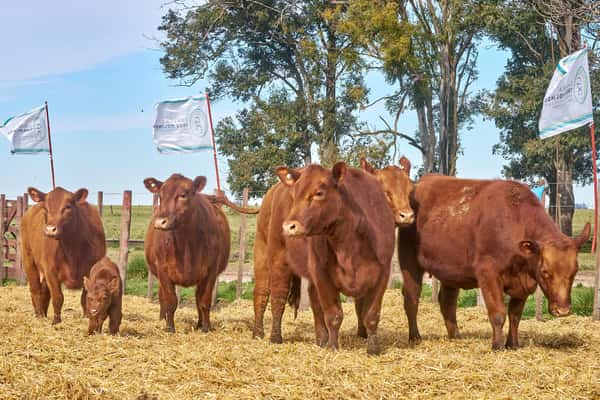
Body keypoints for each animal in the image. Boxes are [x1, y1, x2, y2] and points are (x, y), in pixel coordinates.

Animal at [20, 186, 105, 324]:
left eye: (67, 207)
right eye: (46, 208)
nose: (50, 230)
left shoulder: (90, 272)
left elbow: (85, 297)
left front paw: (87, 318)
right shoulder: (50, 271)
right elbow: (58, 297)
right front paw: (56, 321)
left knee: (44, 292)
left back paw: (43, 314)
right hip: (28, 260)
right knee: (35, 289)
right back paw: (39, 315)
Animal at [144, 173, 231, 332]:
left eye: (183, 195)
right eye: (160, 196)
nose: (160, 222)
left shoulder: (211, 270)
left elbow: (204, 301)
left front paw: (206, 327)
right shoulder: (163, 270)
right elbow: (170, 301)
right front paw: (169, 328)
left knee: (198, 298)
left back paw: (200, 323)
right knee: (162, 296)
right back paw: (162, 318)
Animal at [278, 161, 396, 354]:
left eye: (319, 193)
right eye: (293, 195)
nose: (289, 226)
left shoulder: (383, 273)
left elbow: (371, 315)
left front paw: (373, 349)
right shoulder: (321, 274)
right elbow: (333, 315)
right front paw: (333, 347)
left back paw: (321, 339)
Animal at [398, 176, 592, 350]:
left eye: (575, 272)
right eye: (545, 271)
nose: (563, 311)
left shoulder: (522, 283)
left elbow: (515, 315)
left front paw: (513, 344)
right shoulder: (488, 275)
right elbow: (498, 313)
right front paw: (497, 346)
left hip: (450, 271)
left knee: (447, 301)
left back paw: (456, 337)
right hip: (410, 263)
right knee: (411, 297)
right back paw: (415, 337)